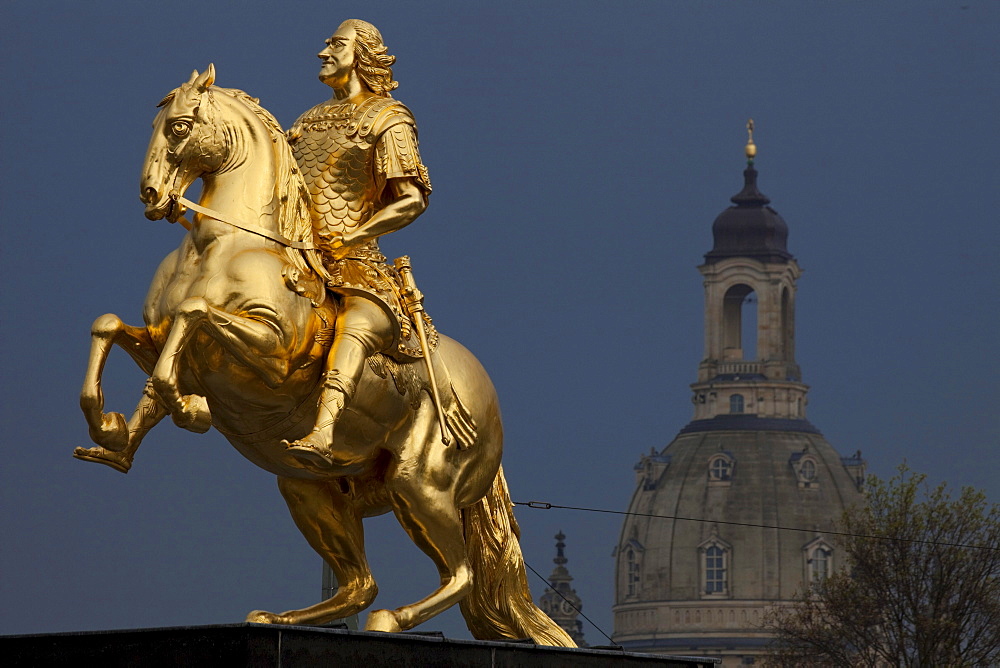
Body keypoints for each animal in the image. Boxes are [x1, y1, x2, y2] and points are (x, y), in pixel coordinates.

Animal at [74, 64, 576, 648]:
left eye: (179, 126)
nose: (151, 194)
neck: (223, 246)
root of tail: (486, 401)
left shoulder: (275, 358)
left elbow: (192, 317)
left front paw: (187, 407)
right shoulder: (155, 339)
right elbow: (115, 329)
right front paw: (112, 432)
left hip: (420, 483)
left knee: (460, 575)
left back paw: (389, 619)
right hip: (307, 489)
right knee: (361, 585)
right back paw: (281, 618)